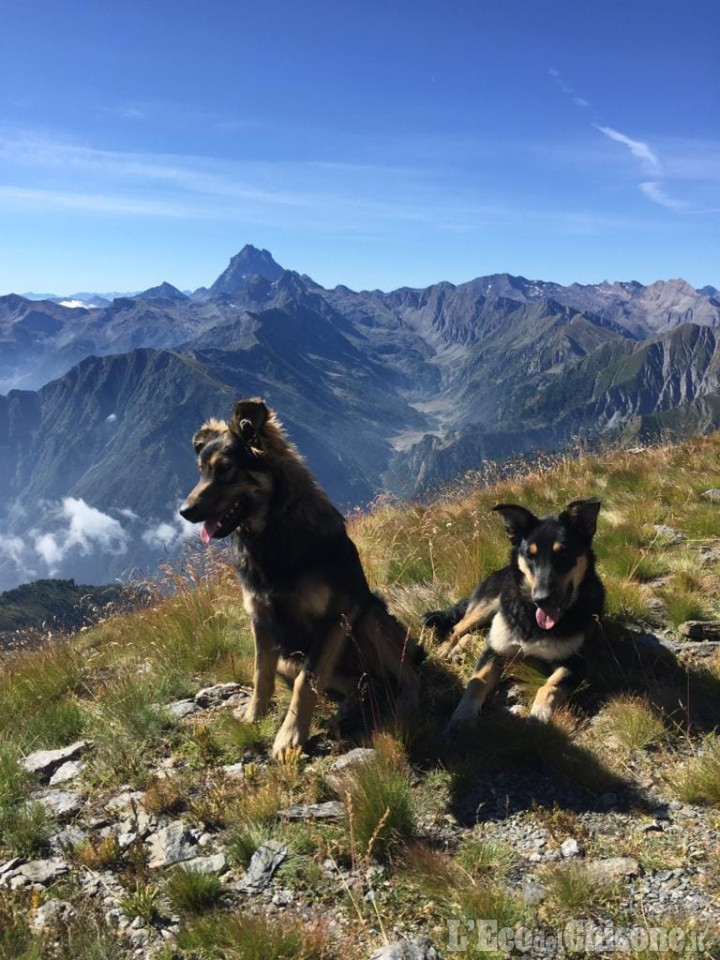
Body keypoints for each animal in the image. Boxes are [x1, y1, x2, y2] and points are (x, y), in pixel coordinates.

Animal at [179, 398, 422, 756]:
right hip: (289, 656)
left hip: (367, 615)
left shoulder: (334, 615)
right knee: (360, 682)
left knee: (406, 673)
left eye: (224, 468)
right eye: (201, 471)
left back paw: (408, 702)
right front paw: (253, 716)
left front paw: (289, 736)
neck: (272, 532)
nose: (183, 512)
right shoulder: (260, 618)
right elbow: (261, 675)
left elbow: (306, 682)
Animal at [422, 502, 600, 728]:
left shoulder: (574, 663)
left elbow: (549, 687)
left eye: (564, 554)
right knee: (458, 628)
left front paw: (538, 716)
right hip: (487, 606)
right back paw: (445, 650)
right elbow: (476, 683)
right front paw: (462, 717)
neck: (530, 617)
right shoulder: (495, 650)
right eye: (530, 556)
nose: (541, 599)